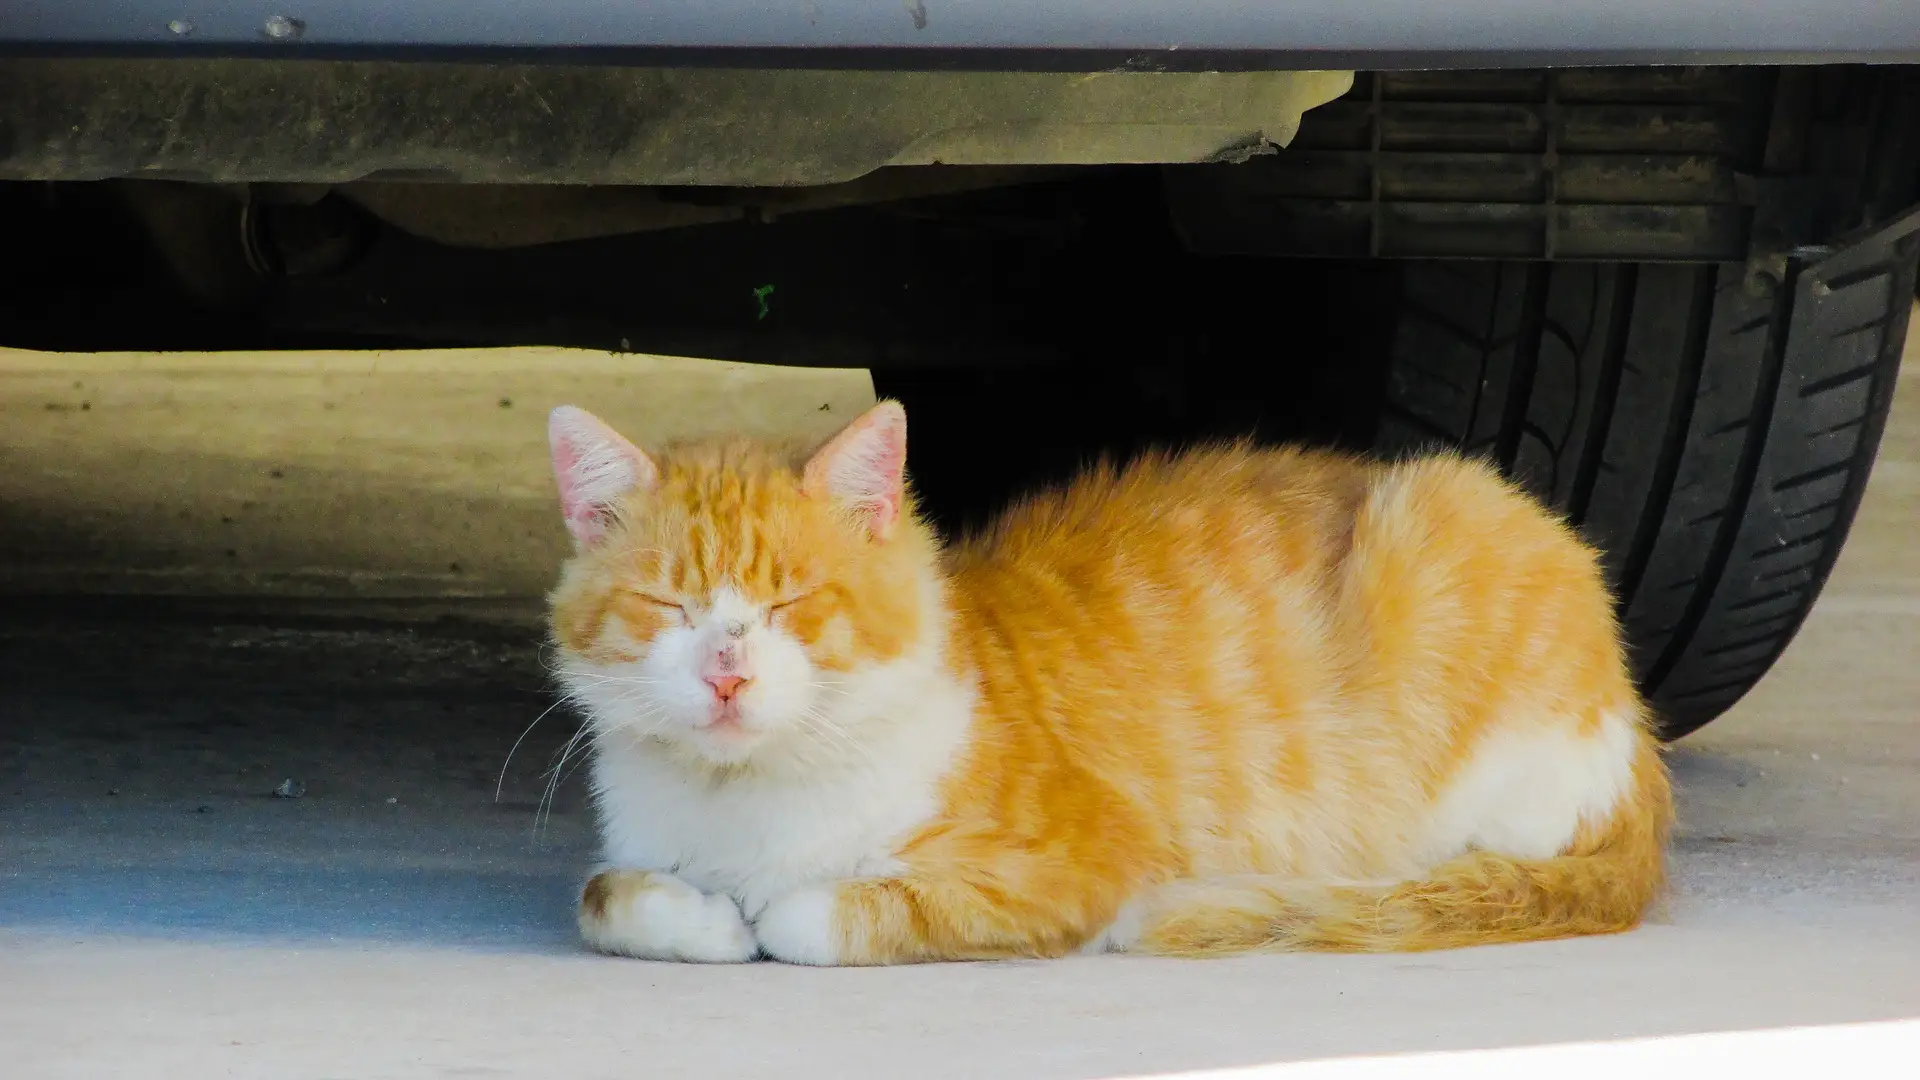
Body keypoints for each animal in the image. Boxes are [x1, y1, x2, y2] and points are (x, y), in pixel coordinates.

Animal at [541, 395, 1666, 957]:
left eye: (792, 604)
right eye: (669, 608)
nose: (727, 673)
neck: (743, 800)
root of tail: (1638, 740)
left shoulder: (1076, 862)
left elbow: (818, 913)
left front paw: (768, 911)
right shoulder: (630, 856)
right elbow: (604, 894)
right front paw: (701, 918)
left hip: (1444, 526)